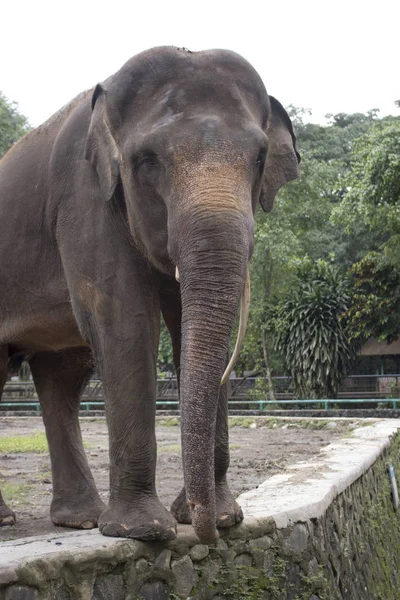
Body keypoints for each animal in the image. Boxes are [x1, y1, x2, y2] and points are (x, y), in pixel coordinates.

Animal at [0, 47, 300, 544]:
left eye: (260, 157)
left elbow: (186, 325)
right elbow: (124, 319)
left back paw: (78, 519)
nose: (207, 532)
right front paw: (143, 531)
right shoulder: (83, 196)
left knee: (62, 377)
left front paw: (221, 517)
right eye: (146, 160)